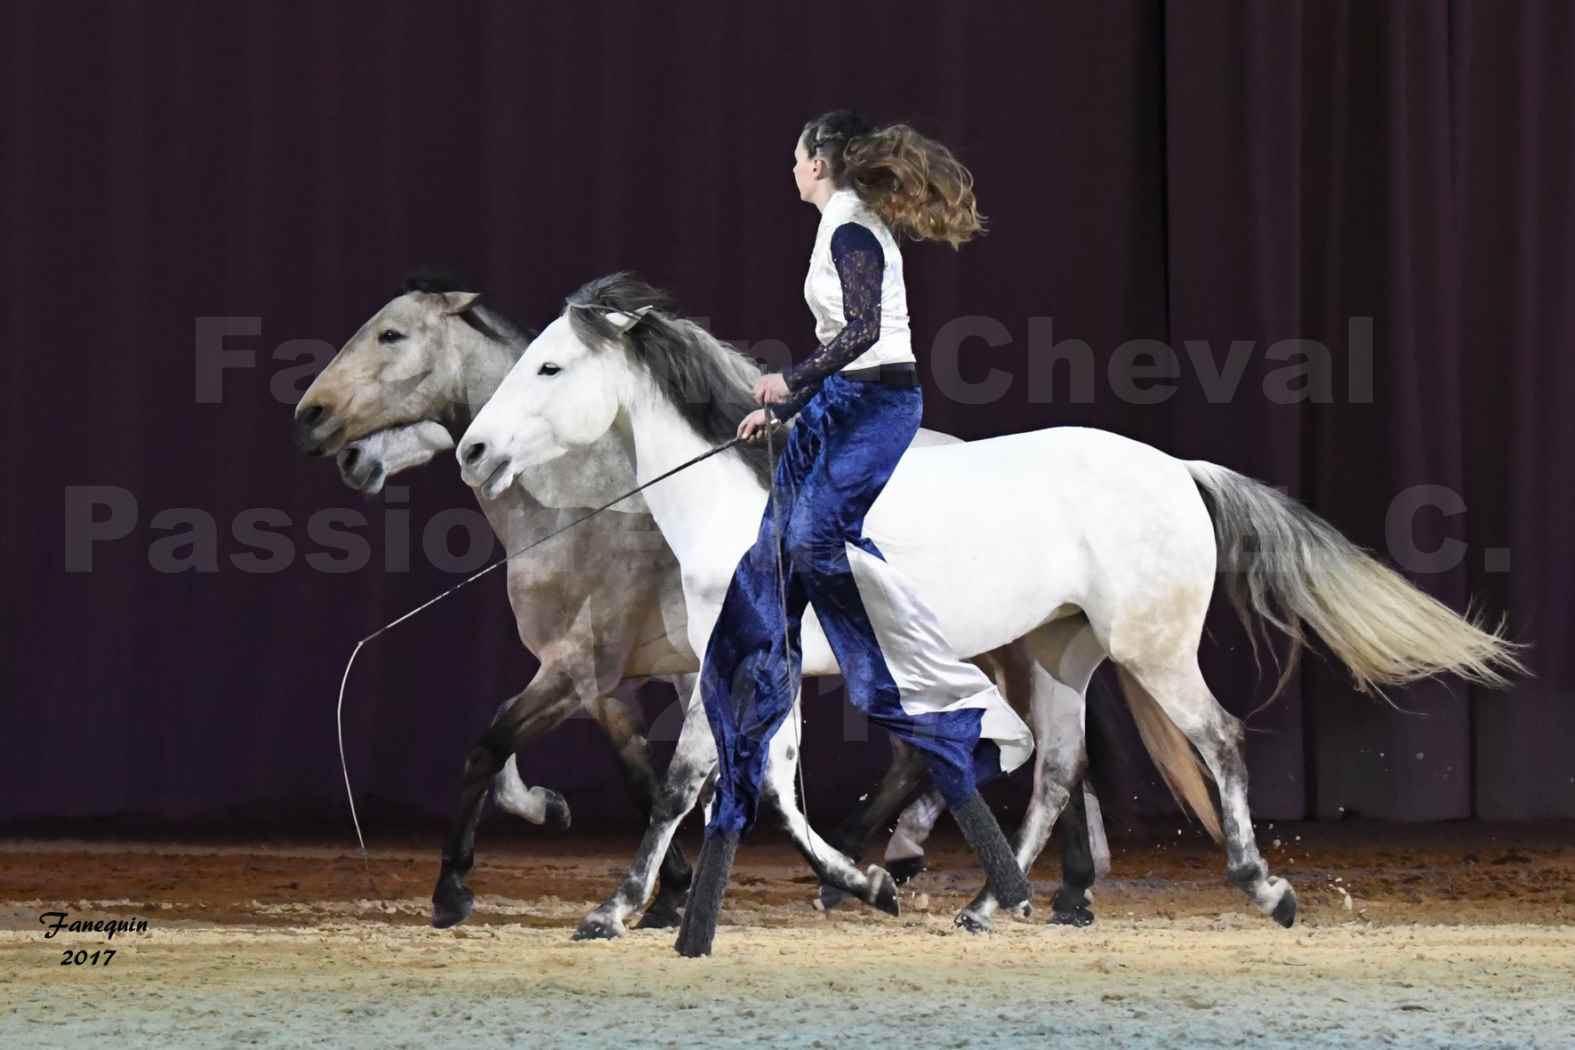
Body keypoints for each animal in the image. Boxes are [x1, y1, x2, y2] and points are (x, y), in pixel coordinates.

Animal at [456, 275, 1524, 931]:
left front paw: (614, 910)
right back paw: (990, 903)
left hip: (1152, 649)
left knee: (1214, 741)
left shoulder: (745, 664)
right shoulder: (758, 671)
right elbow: (759, 785)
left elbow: (696, 783)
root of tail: (1177, 469)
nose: (472, 449)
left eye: (551, 366)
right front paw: (863, 882)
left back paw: (1265, 890)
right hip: (1059, 654)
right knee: (1055, 770)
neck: (742, 500)